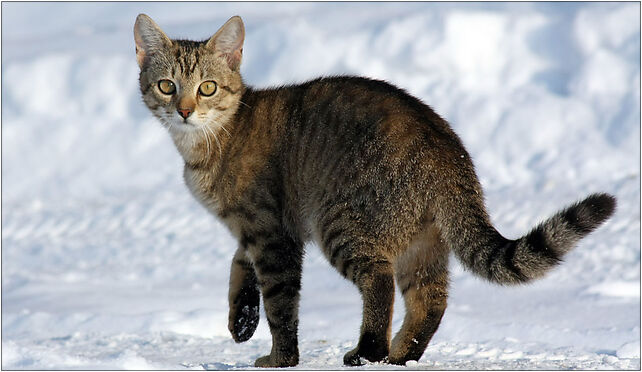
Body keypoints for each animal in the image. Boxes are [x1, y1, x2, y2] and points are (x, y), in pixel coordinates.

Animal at [134, 13, 616, 366]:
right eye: (166, 85)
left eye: (207, 87)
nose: (184, 110)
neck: (214, 139)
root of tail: (445, 150)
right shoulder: (256, 230)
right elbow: (240, 268)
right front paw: (241, 318)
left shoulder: (272, 233)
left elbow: (281, 303)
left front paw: (280, 358)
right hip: (422, 243)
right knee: (431, 300)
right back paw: (400, 354)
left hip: (342, 223)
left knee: (379, 282)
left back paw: (368, 351)